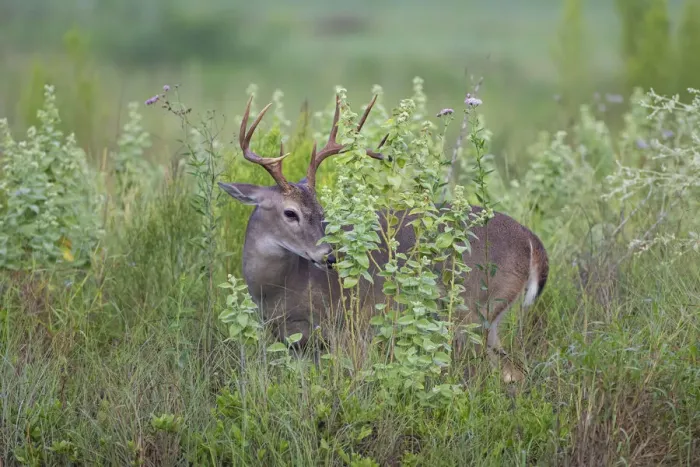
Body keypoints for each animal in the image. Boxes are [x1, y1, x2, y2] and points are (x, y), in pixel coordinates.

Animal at [218, 93, 549, 383]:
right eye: (290, 213)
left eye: (320, 212)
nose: (330, 256)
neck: (278, 288)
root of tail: (530, 239)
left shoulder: (346, 325)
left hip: (475, 307)